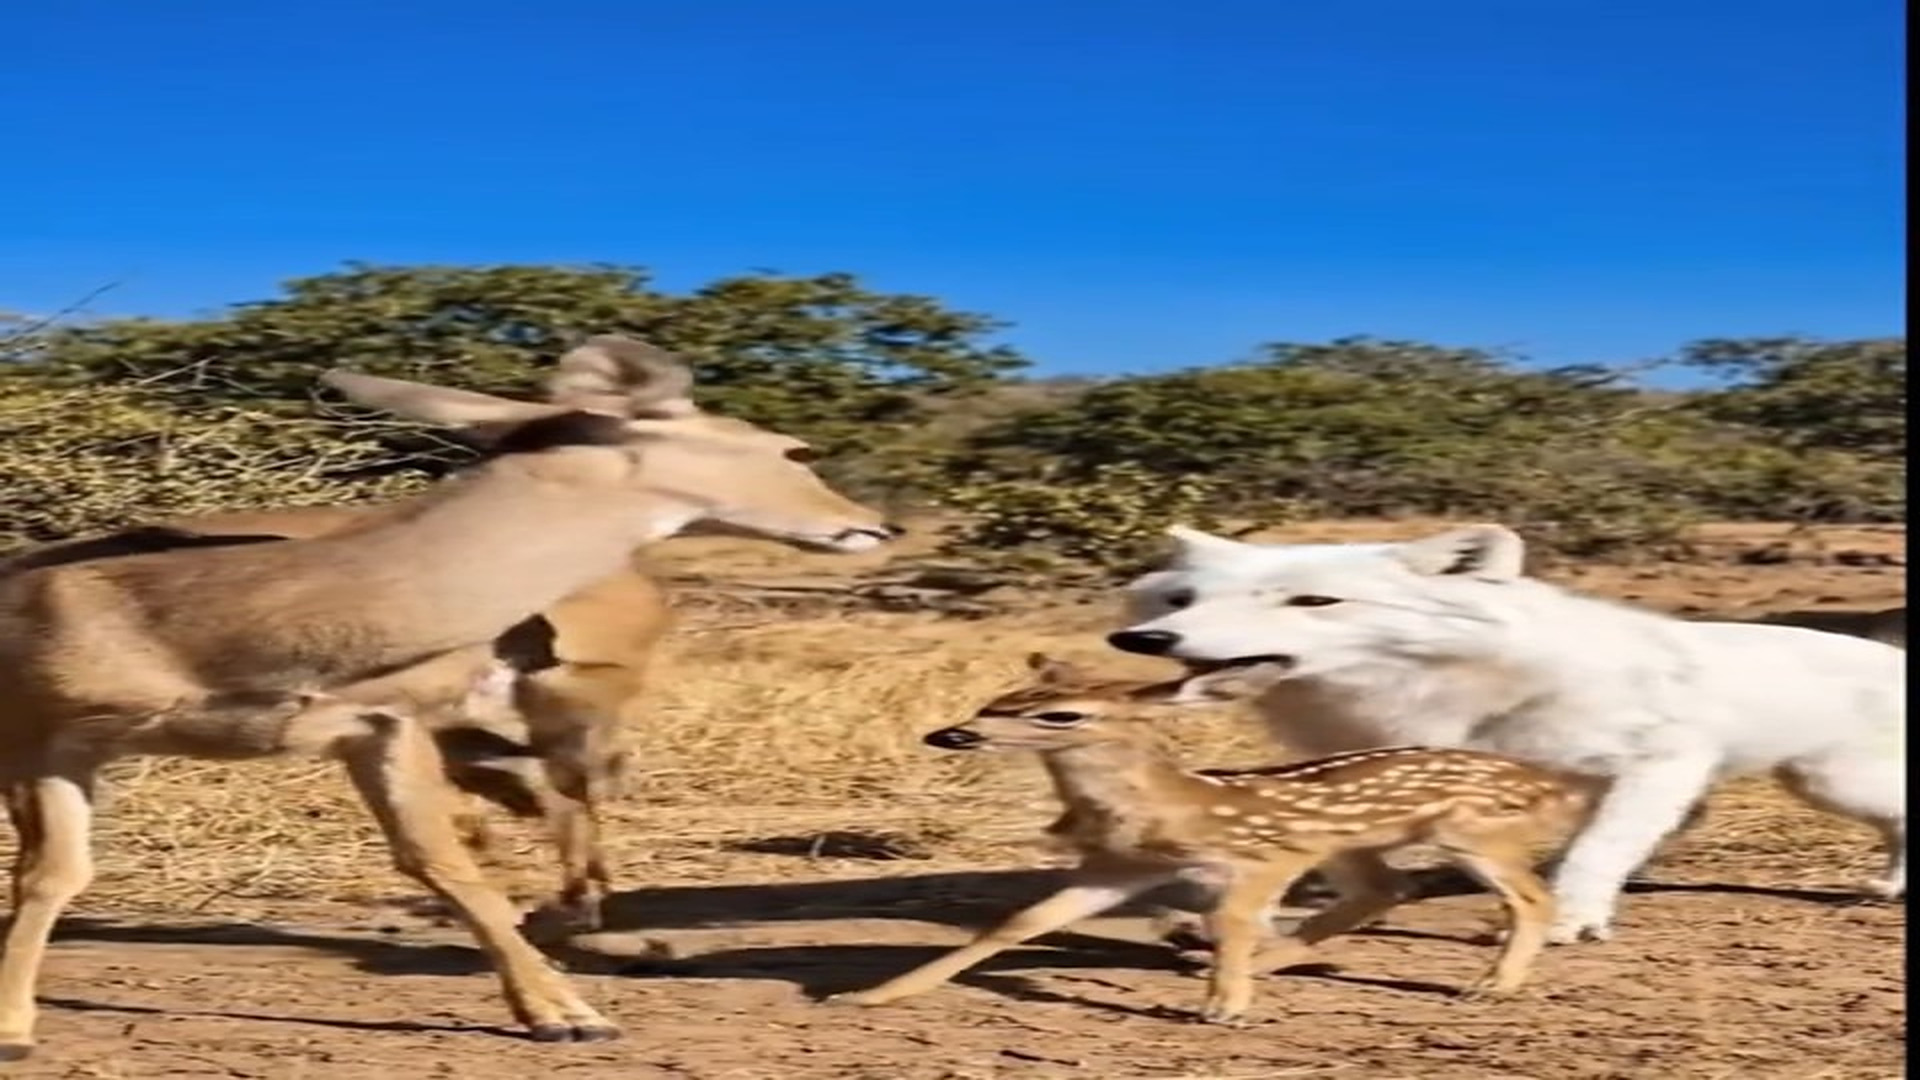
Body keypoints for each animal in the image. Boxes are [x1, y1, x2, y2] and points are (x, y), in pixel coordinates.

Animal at [0, 336, 693, 937]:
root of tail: (639, 577)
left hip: (549, 716)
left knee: (578, 789)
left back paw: (575, 911)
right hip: (472, 730)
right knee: (548, 791)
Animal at [829, 655, 1593, 1024]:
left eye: (1060, 714)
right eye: (997, 701)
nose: (949, 735)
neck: (1165, 805)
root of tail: (1557, 784)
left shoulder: (1268, 851)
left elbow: (1231, 915)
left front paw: (1223, 1008)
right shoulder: (1116, 866)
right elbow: (1019, 921)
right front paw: (870, 996)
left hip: (1472, 832)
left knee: (1530, 898)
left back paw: (1489, 988)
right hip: (1357, 844)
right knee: (1386, 889)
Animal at [1107, 524, 1906, 944]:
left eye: (1315, 601)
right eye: (1183, 599)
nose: (1142, 640)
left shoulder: (1655, 765)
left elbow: (1593, 853)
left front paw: (1568, 921)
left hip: (1834, 786)